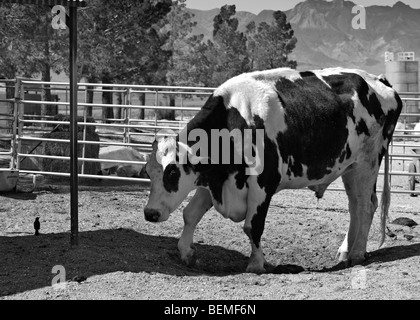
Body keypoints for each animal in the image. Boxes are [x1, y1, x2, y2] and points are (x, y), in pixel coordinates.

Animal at [143, 67, 402, 272]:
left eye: (172, 172)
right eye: (147, 172)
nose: (150, 213)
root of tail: (379, 80)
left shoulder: (263, 183)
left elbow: (252, 226)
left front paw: (257, 264)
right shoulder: (215, 179)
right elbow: (191, 214)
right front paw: (186, 252)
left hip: (367, 163)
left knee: (366, 206)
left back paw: (357, 254)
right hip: (350, 167)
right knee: (355, 206)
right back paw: (345, 252)